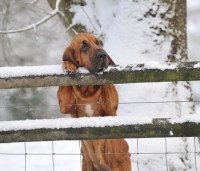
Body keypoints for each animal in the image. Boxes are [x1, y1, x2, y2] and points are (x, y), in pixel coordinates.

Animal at [57, 33, 131, 171]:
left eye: (97, 42)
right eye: (84, 46)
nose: (103, 54)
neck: (88, 91)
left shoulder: (110, 109)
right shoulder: (65, 105)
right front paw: (68, 64)